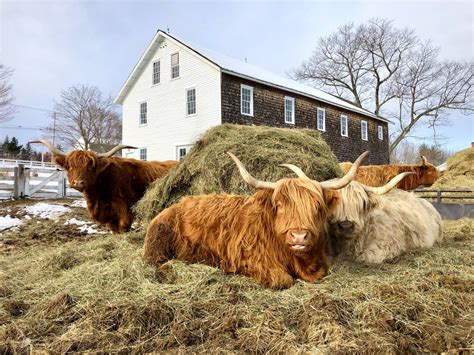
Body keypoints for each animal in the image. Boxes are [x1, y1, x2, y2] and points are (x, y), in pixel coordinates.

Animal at [31, 140, 178, 235]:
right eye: (71, 166)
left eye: (90, 167)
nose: (78, 182)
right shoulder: (110, 218)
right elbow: (114, 230)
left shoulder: (125, 211)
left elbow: (123, 228)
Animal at [143, 151, 368, 290]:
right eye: (279, 205)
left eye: (318, 206)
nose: (299, 236)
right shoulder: (251, 259)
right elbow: (283, 279)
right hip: (157, 245)